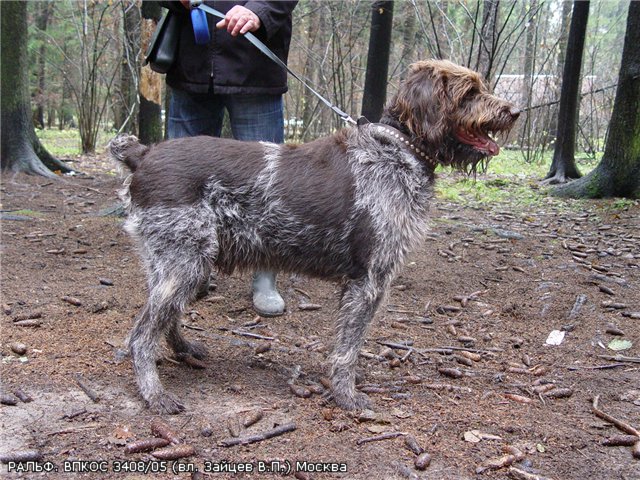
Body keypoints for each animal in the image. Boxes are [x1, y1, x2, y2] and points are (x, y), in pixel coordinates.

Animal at [110, 60, 519, 414]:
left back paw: (183, 349)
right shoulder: (367, 282)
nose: (514, 111)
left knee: (164, 317)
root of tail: (144, 153)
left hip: (177, 265)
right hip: (185, 264)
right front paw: (346, 396)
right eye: (469, 92)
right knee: (140, 336)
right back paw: (154, 394)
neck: (398, 150)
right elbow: (348, 349)